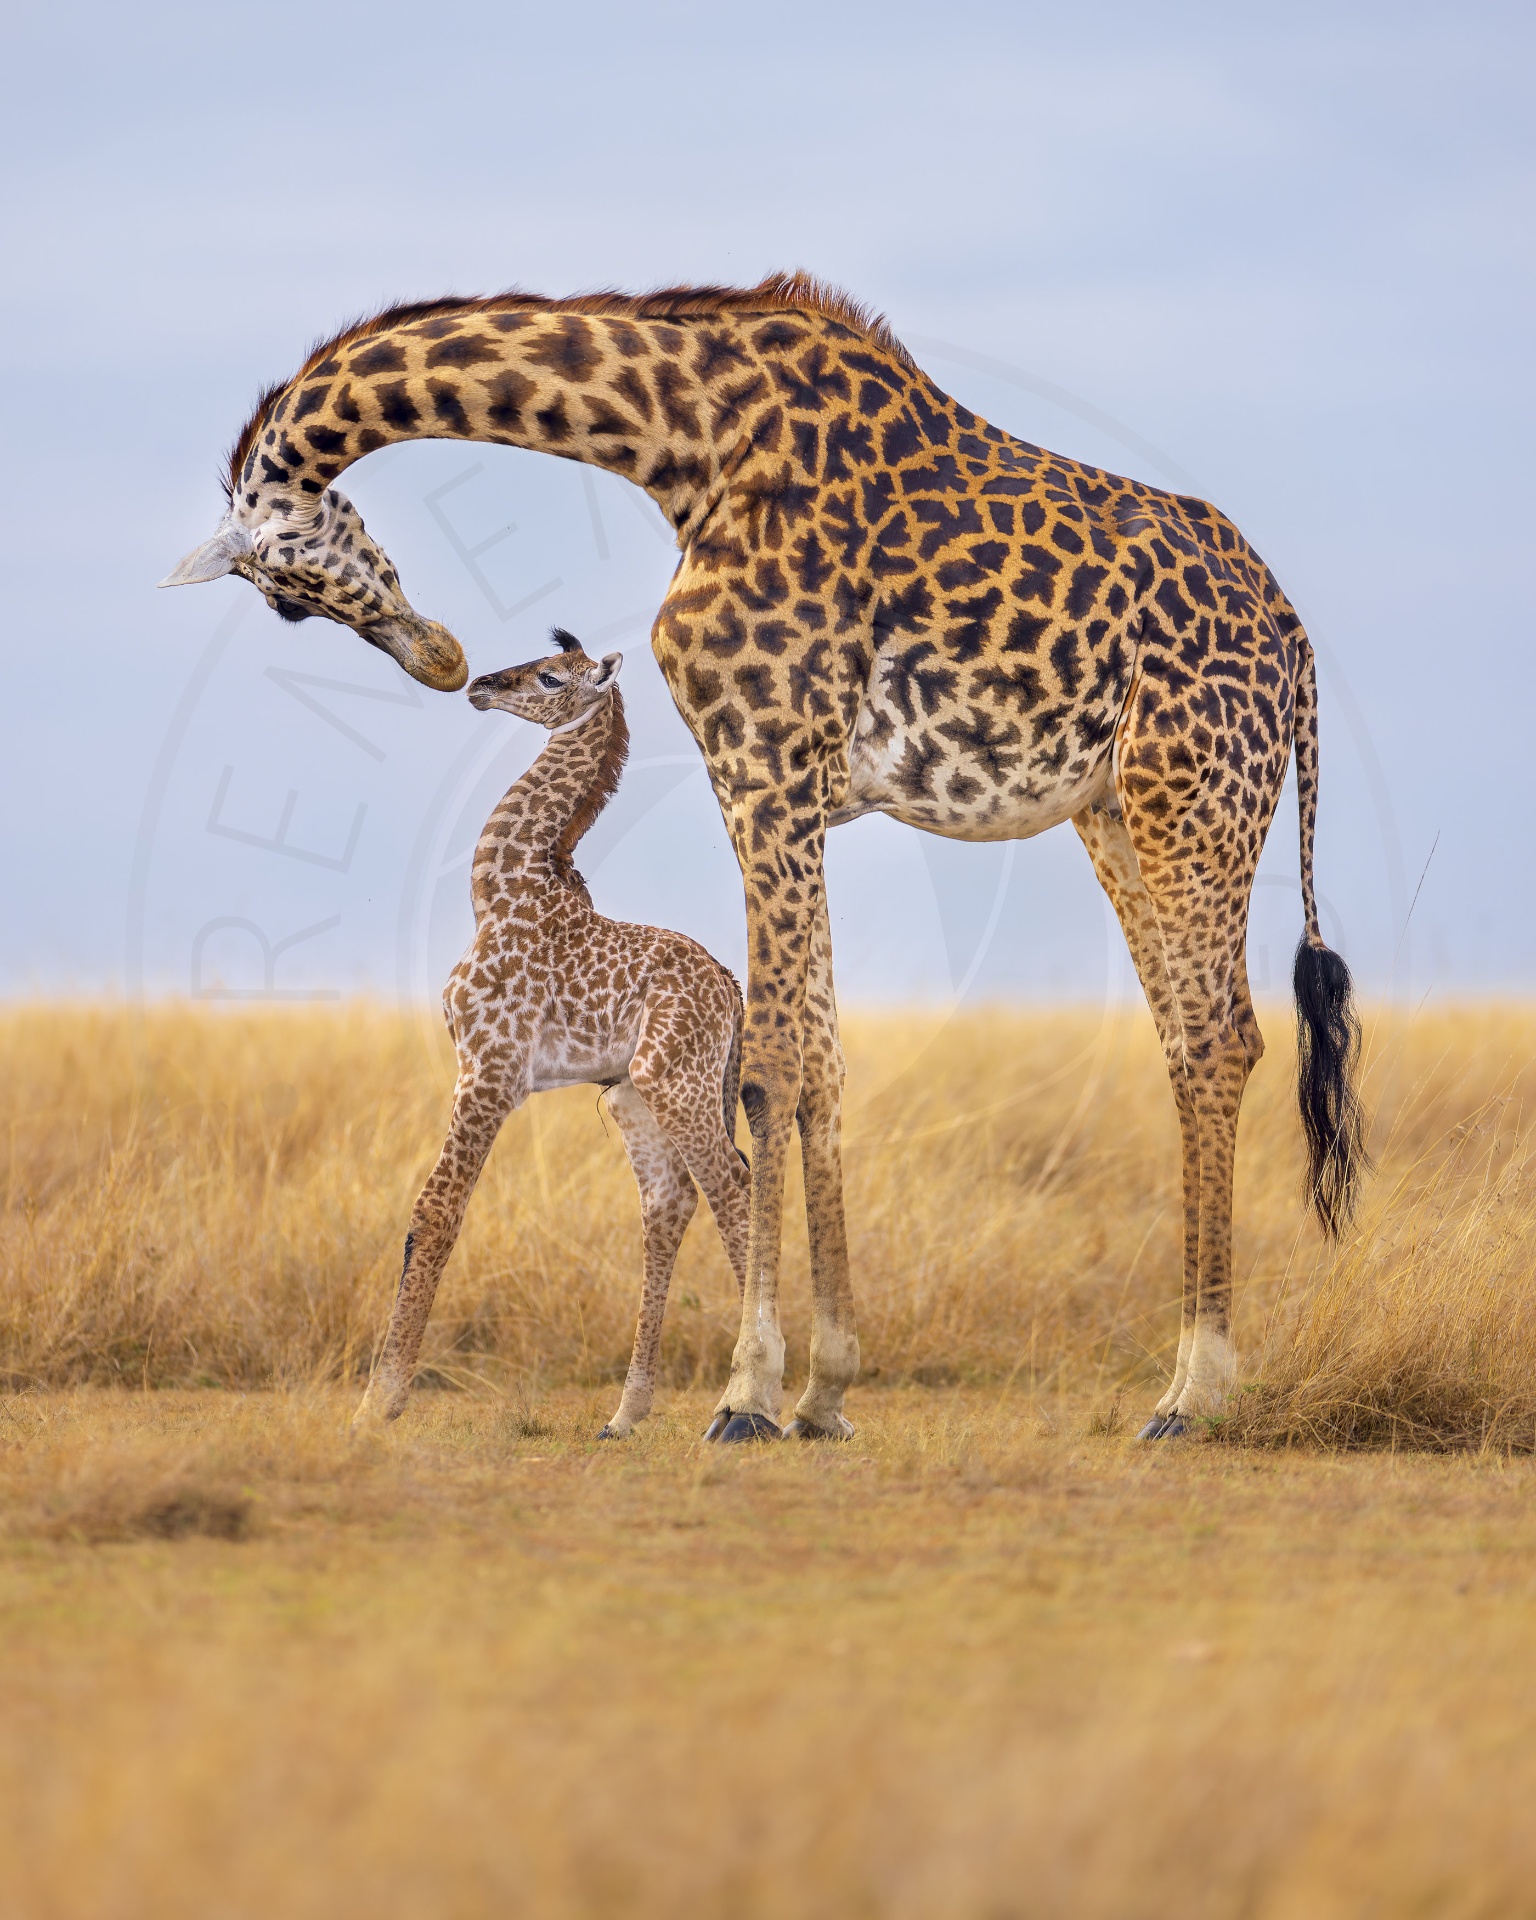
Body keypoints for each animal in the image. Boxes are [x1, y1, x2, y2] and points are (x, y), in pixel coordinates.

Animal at [353, 627, 750, 1436]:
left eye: (550, 677)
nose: (480, 686)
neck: (502, 894)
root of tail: (729, 985)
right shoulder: (490, 1072)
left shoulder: (488, 1069)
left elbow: (435, 1212)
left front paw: (380, 1401)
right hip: (634, 1094)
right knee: (670, 1202)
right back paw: (626, 1414)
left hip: (677, 1080)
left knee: (733, 1184)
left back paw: (749, 1403)